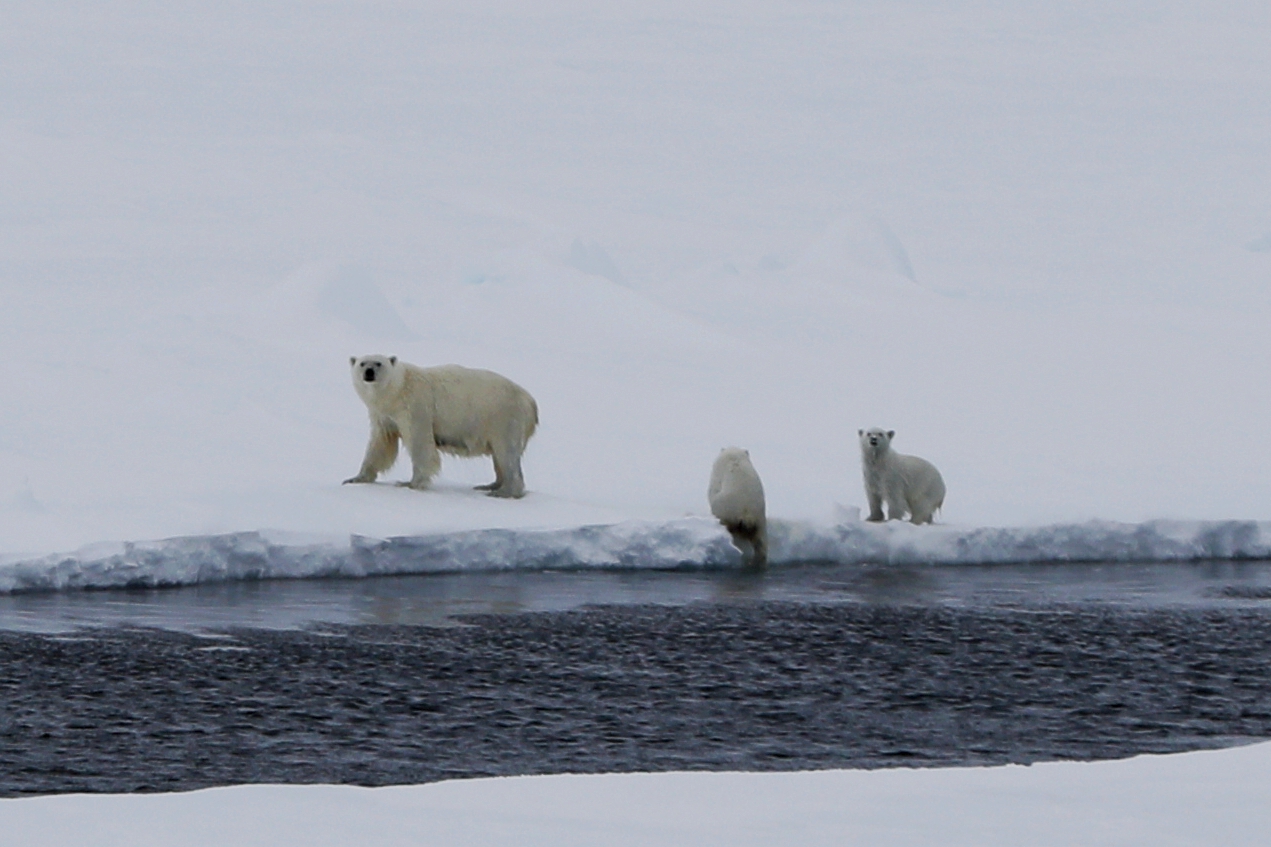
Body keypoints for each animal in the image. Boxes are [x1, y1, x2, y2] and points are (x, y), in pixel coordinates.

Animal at [343, 353, 536, 495]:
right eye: (362, 363)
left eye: (378, 363)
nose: (369, 372)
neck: (398, 390)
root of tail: (530, 401)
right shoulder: (383, 415)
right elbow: (380, 445)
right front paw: (355, 478)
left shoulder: (416, 405)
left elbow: (420, 443)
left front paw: (410, 483)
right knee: (499, 456)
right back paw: (490, 485)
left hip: (503, 417)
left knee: (506, 452)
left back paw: (504, 491)